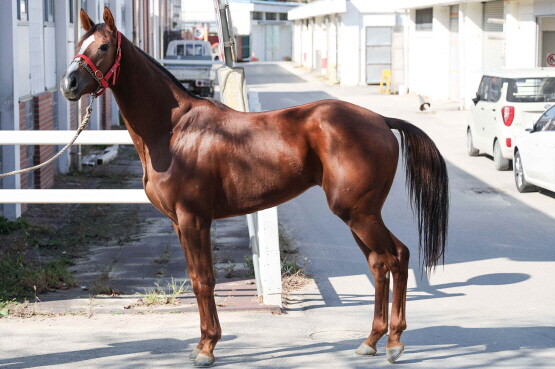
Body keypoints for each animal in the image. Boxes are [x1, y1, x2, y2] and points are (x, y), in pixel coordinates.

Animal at [63, 7, 450, 366]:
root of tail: (381, 121)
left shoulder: (194, 220)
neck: (174, 131)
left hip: (360, 213)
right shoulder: (178, 223)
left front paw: (207, 348)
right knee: (379, 264)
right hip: (360, 215)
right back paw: (371, 340)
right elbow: (195, 278)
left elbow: (204, 280)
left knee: (397, 257)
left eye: (104, 46)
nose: (69, 84)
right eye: (78, 43)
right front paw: (203, 344)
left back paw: (395, 343)